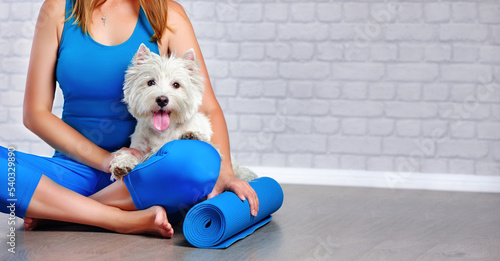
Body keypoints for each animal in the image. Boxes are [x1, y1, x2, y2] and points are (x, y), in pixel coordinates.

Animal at [110, 43, 258, 182]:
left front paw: (192, 136)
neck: (164, 131)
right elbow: (130, 154)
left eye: (176, 85)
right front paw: (122, 164)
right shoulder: (139, 146)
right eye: (150, 82)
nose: (162, 99)